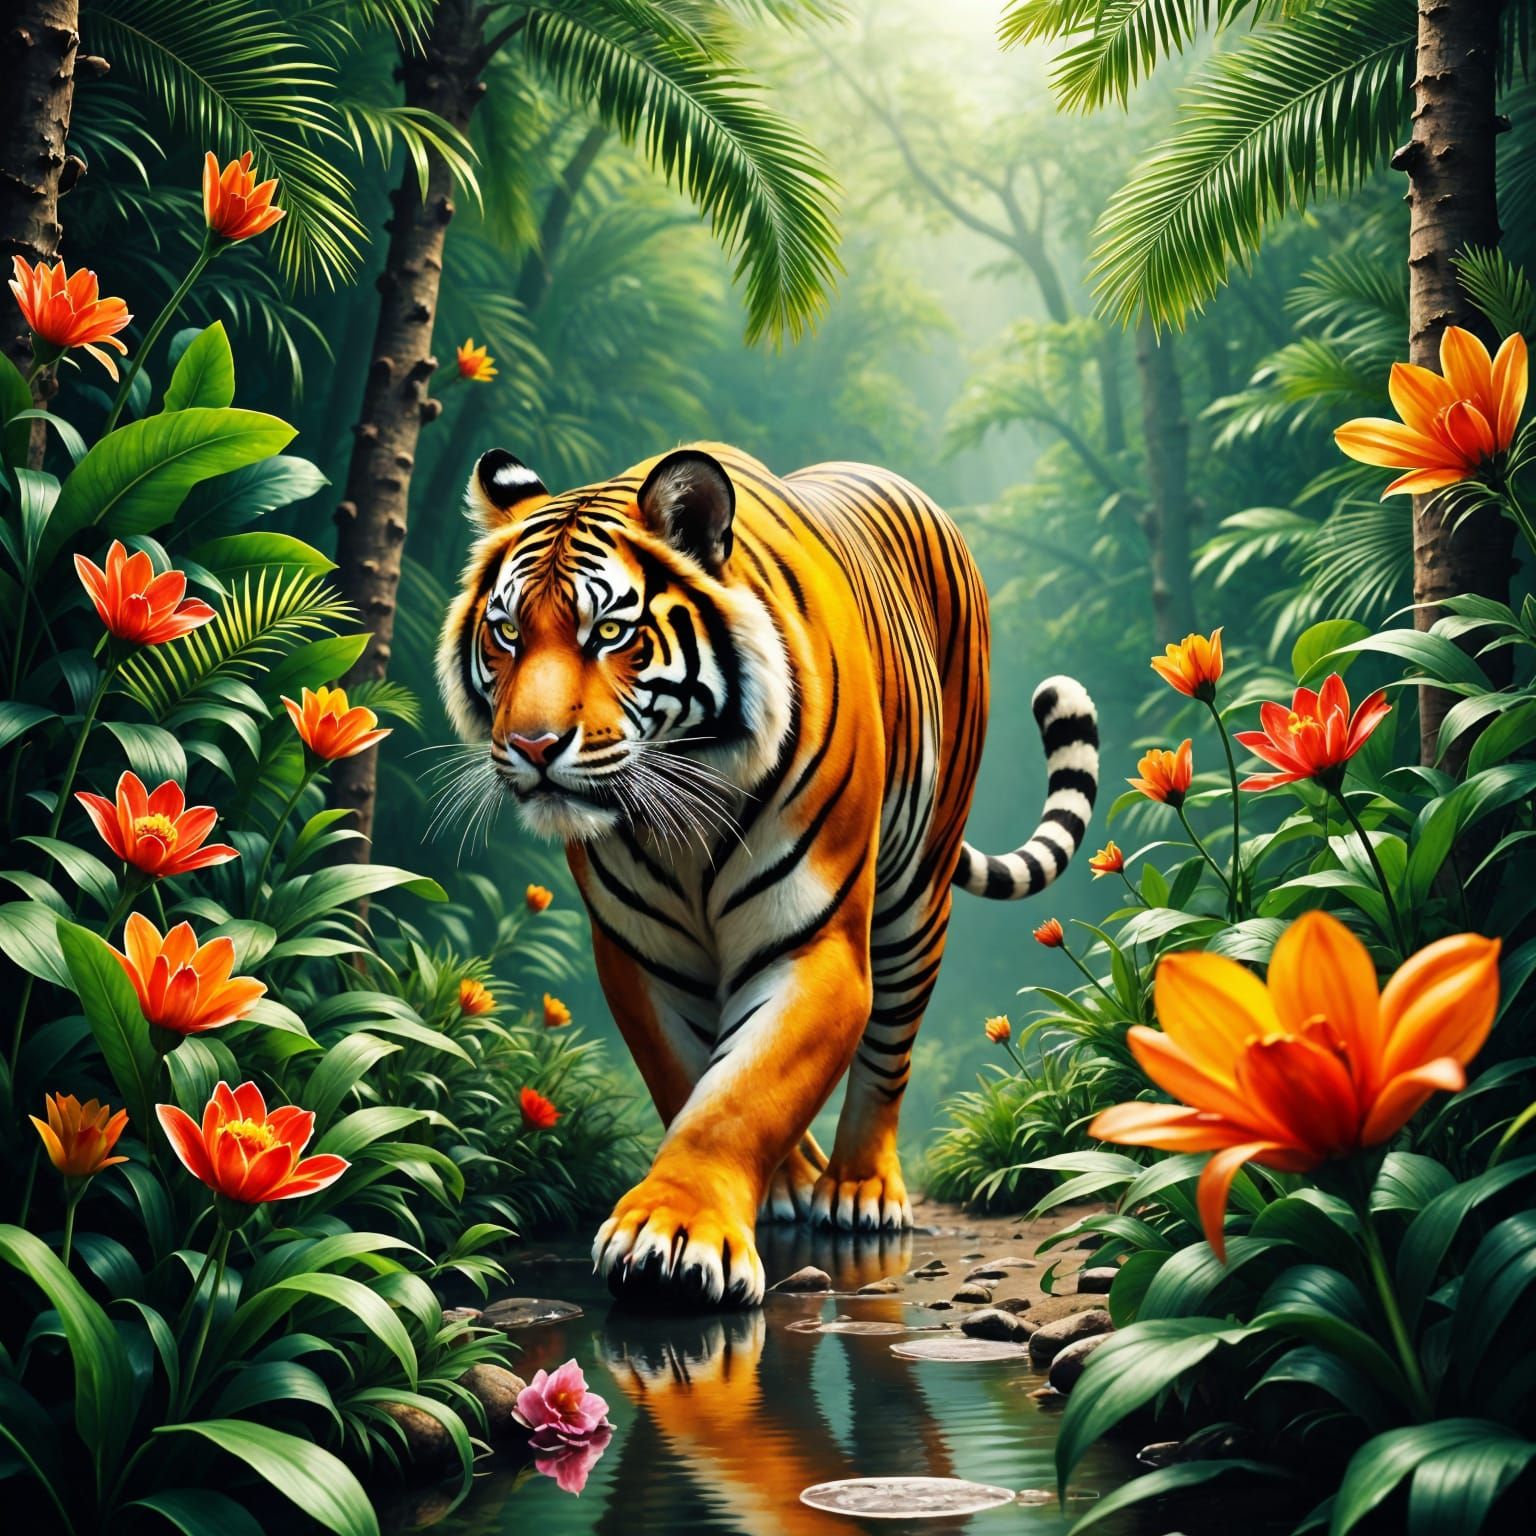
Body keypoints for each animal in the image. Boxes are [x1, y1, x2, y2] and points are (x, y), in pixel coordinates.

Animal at [438, 442, 1099, 1308]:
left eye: (610, 632)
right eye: (507, 633)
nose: (533, 746)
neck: (680, 802)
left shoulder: (812, 942)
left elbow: (738, 1097)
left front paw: (674, 1235)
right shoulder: (642, 956)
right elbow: (698, 1076)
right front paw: (747, 1196)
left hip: (916, 895)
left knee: (890, 1048)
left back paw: (858, 1190)